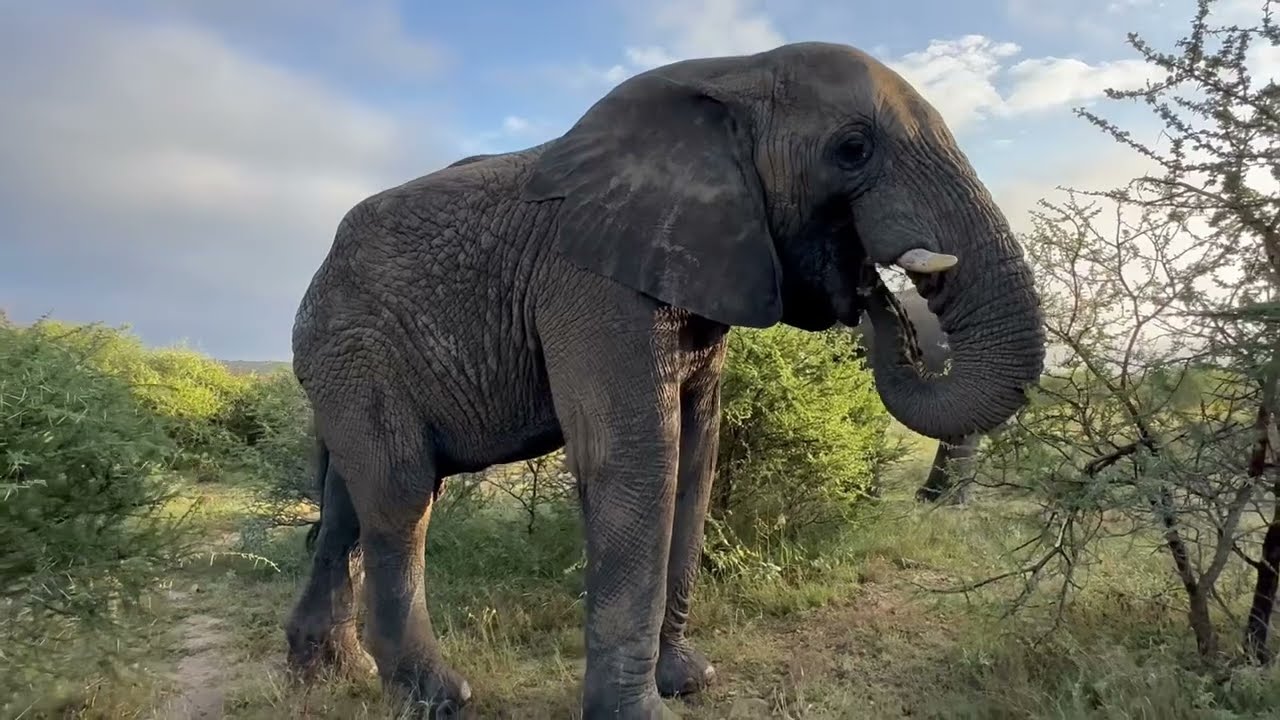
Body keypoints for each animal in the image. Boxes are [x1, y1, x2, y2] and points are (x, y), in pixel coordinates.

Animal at [284, 41, 1045, 718]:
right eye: (853, 149)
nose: (876, 292)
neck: (737, 73)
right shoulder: (589, 283)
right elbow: (638, 459)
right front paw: (641, 713)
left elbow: (696, 459)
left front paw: (689, 680)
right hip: (353, 345)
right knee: (402, 495)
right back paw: (436, 696)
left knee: (351, 499)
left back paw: (328, 674)